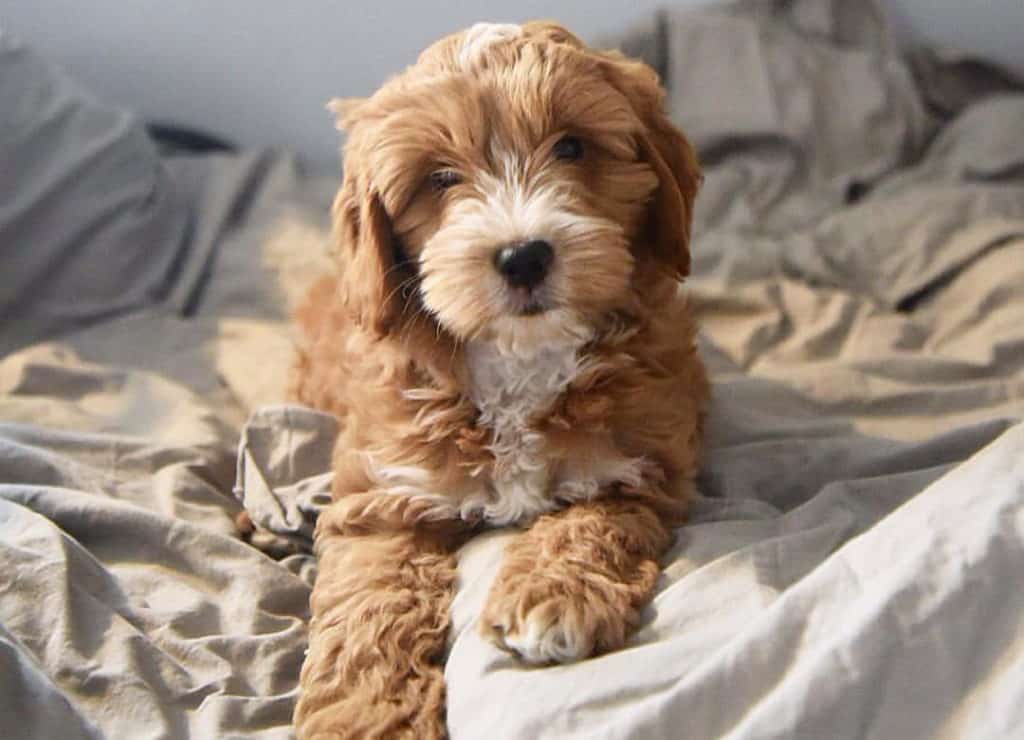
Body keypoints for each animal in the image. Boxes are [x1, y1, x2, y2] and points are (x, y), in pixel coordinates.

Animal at [288, 20, 704, 736]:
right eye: (440, 178)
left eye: (572, 146)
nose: (523, 255)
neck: (520, 361)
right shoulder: (382, 502)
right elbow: (368, 613)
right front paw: (367, 718)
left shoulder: (641, 461)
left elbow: (593, 519)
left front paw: (555, 594)